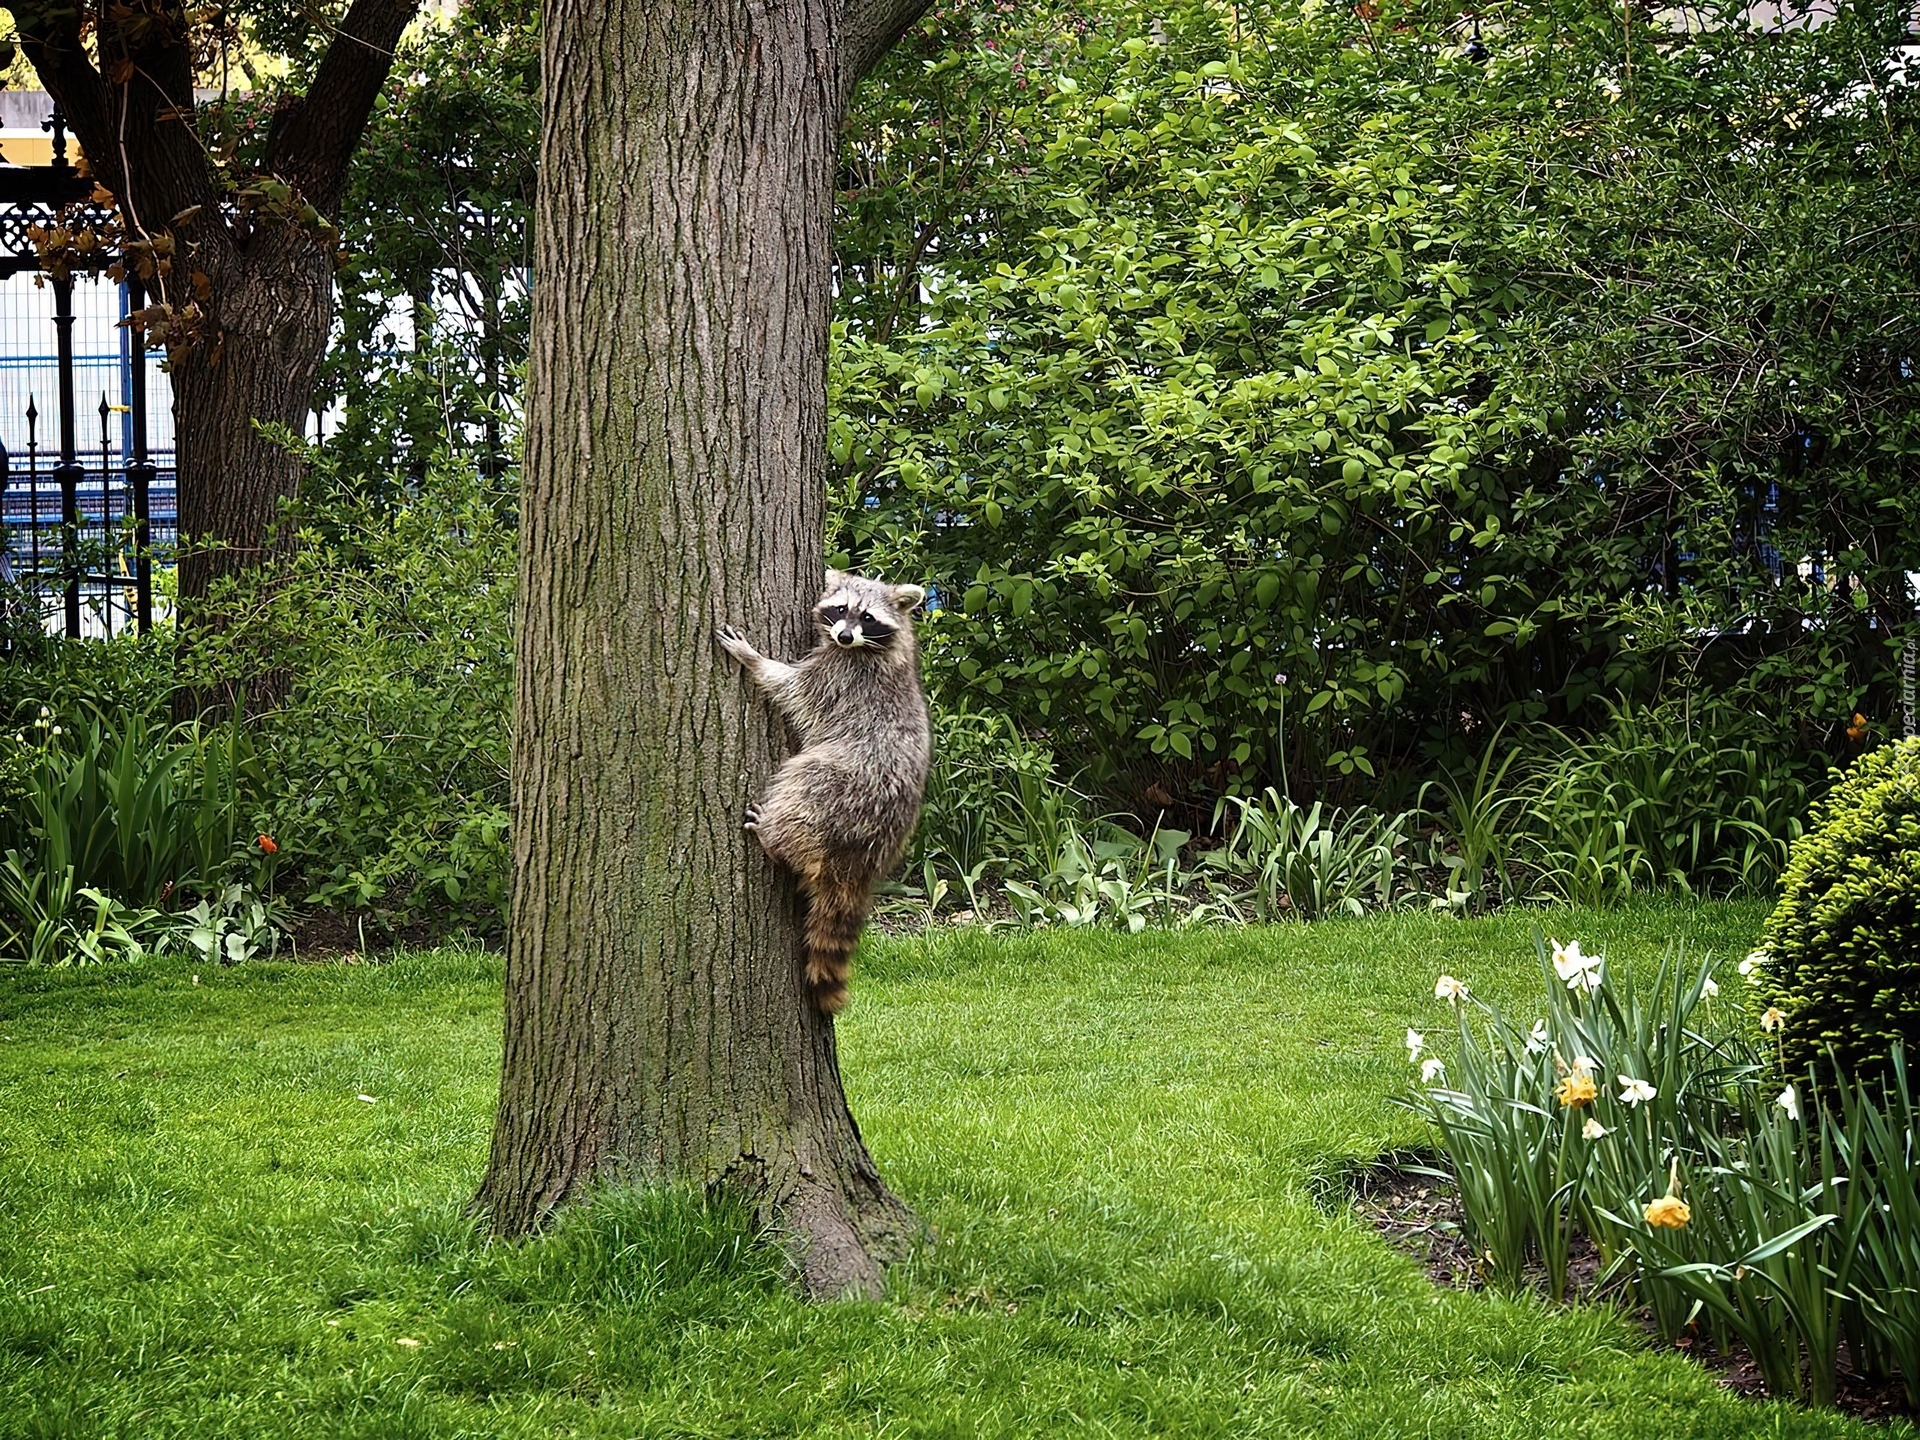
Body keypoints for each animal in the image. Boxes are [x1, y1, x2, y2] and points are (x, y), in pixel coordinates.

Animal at [718, 572, 933, 1013]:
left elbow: (793, 689)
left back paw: (775, 841)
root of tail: (862, 861)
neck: (872, 647)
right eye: (841, 609)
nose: (845, 635)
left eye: (867, 617)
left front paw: (754, 659)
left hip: (845, 789)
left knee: (801, 782)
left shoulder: (840, 676)